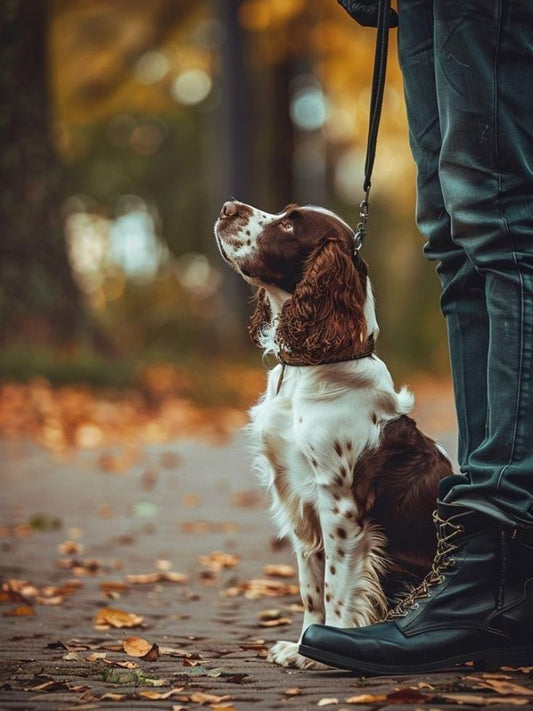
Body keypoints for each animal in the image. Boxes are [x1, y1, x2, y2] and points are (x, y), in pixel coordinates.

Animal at [214, 200, 450, 668]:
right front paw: (302, 644)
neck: (314, 367)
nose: (228, 207)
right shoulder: (300, 500)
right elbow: (311, 588)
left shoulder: (341, 505)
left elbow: (337, 587)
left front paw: (329, 647)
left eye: (290, 225)